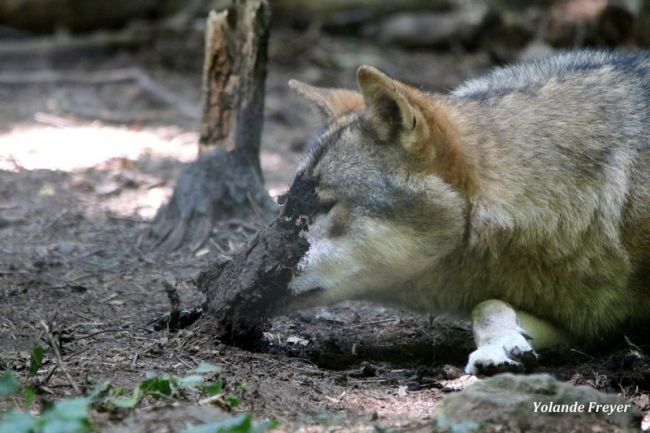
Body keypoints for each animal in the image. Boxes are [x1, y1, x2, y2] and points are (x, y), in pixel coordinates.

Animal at [280, 51, 644, 374]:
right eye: (287, 201)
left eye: (324, 205)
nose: (260, 271)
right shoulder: (578, 324)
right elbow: (487, 307)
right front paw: (500, 347)